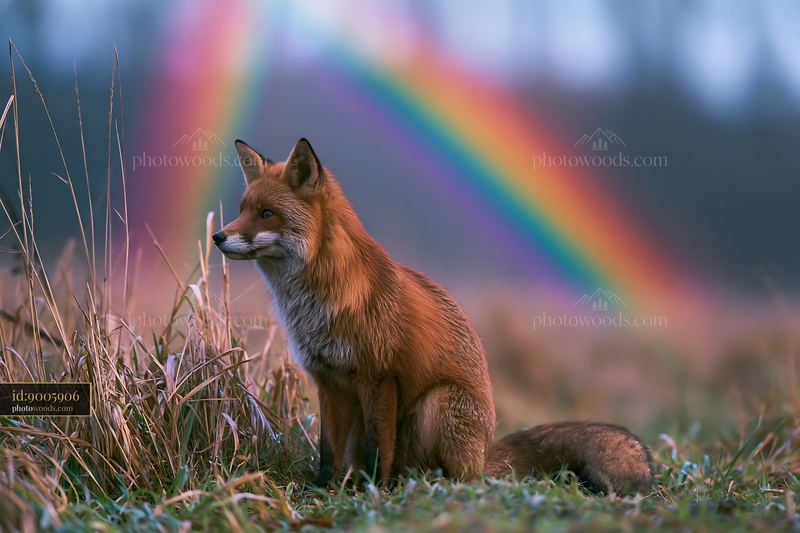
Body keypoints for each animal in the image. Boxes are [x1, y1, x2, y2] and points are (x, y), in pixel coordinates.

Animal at [213, 138, 654, 494]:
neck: (319, 299)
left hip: (437, 403)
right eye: (242, 209)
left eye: (266, 213)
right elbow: (327, 450)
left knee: (452, 476)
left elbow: (379, 448)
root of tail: (484, 455)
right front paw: (322, 491)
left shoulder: (379, 377)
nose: (218, 236)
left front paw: (375, 493)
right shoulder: (329, 381)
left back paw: (422, 483)